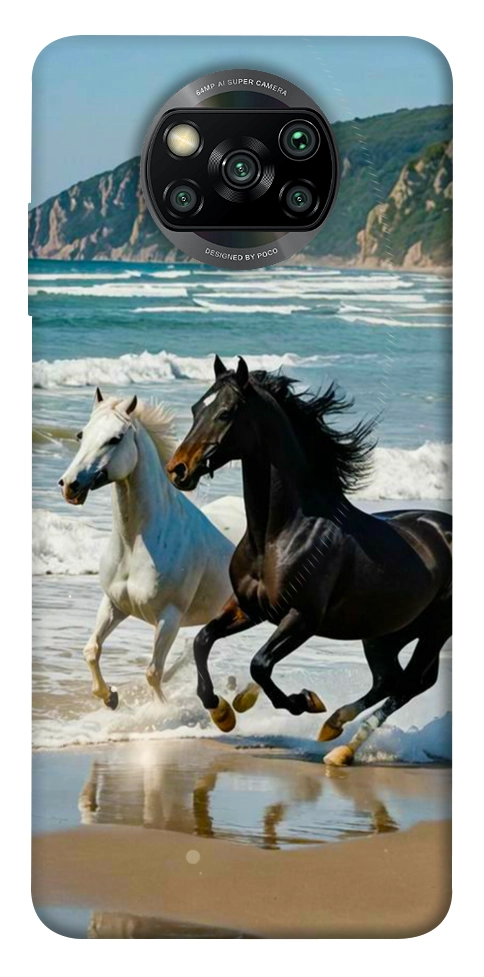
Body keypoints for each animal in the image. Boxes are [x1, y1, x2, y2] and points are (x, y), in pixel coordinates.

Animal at [59, 388, 234, 709]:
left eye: (115, 438)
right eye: (81, 434)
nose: (69, 485)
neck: (135, 544)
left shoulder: (169, 618)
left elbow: (153, 672)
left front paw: (161, 711)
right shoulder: (114, 604)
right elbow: (91, 650)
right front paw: (110, 697)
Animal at [166, 356, 452, 765]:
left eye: (225, 413)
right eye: (195, 409)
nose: (179, 469)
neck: (279, 534)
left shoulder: (302, 618)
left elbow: (260, 663)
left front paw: (303, 701)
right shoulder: (248, 608)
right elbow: (202, 641)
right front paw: (222, 712)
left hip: (433, 630)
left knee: (409, 683)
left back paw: (341, 746)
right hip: (385, 632)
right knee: (390, 679)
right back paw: (333, 729)